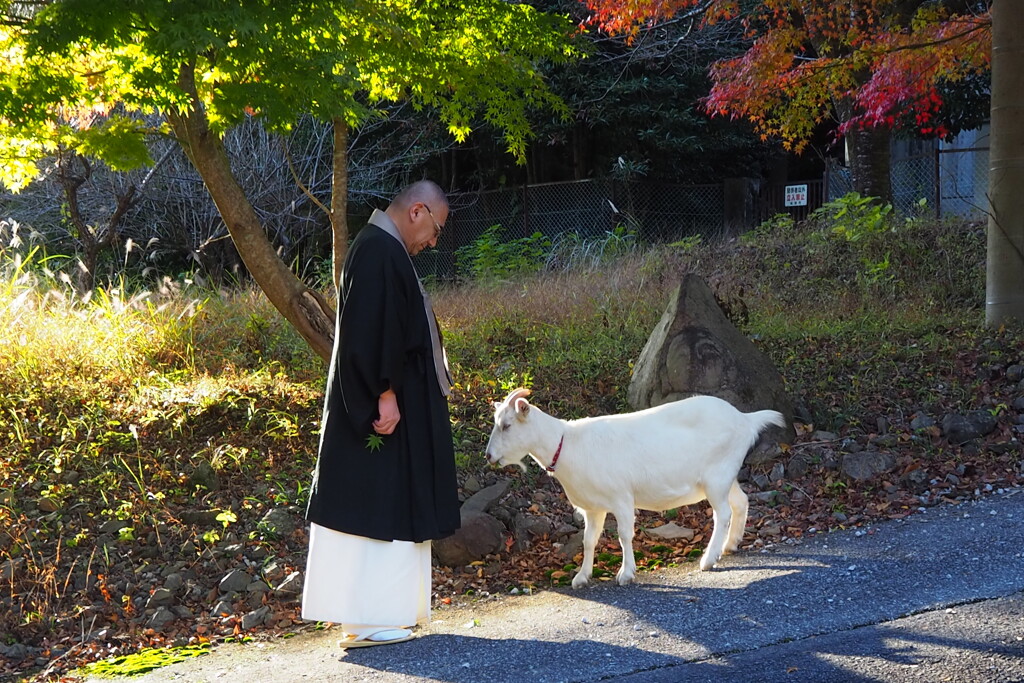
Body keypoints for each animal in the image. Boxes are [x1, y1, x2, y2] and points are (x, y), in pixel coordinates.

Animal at [485, 389, 782, 589]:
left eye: (507, 425)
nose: (489, 456)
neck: (567, 443)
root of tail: (745, 420)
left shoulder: (622, 498)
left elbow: (624, 535)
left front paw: (626, 574)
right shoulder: (593, 508)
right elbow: (589, 540)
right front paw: (582, 577)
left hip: (716, 476)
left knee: (722, 514)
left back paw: (709, 559)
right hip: (726, 476)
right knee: (741, 502)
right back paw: (731, 545)